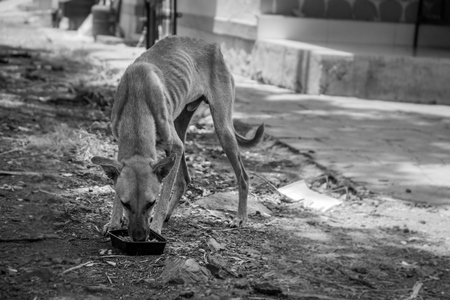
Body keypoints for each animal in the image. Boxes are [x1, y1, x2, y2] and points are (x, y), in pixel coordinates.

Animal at [91, 35, 264, 241]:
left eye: (151, 203)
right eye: (126, 203)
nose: (139, 237)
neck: (137, 98)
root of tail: (213, 45)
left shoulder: (174, 148)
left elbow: (164, 195)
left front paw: (156, 228)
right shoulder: (126, 153)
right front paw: (114, 223)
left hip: (222, 132)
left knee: (243, 177)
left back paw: (240, 217)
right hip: (179, 131)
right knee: (184, 180)